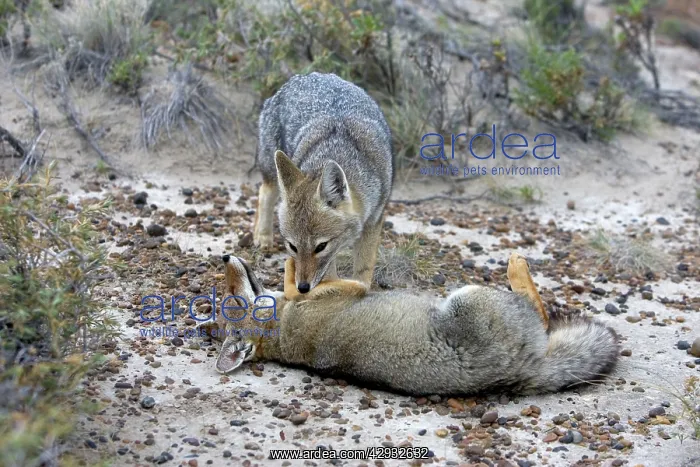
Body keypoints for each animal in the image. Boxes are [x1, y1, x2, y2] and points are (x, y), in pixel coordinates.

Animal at [208, 253, 620, 396]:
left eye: (231, 297)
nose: (225, 255)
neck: (282, 334)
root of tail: (525, 371)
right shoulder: (349, 287)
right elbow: (299, 280)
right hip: (470, 297)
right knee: (539, 309)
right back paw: (517, 265)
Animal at [252, 72, 394, 294]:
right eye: (292, 247)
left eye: (320, 247)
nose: (302, 287)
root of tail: (302, 76)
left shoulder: (373, 220)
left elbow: (364, 268)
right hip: (272, 171)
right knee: (264, 194)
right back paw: (263, 236)